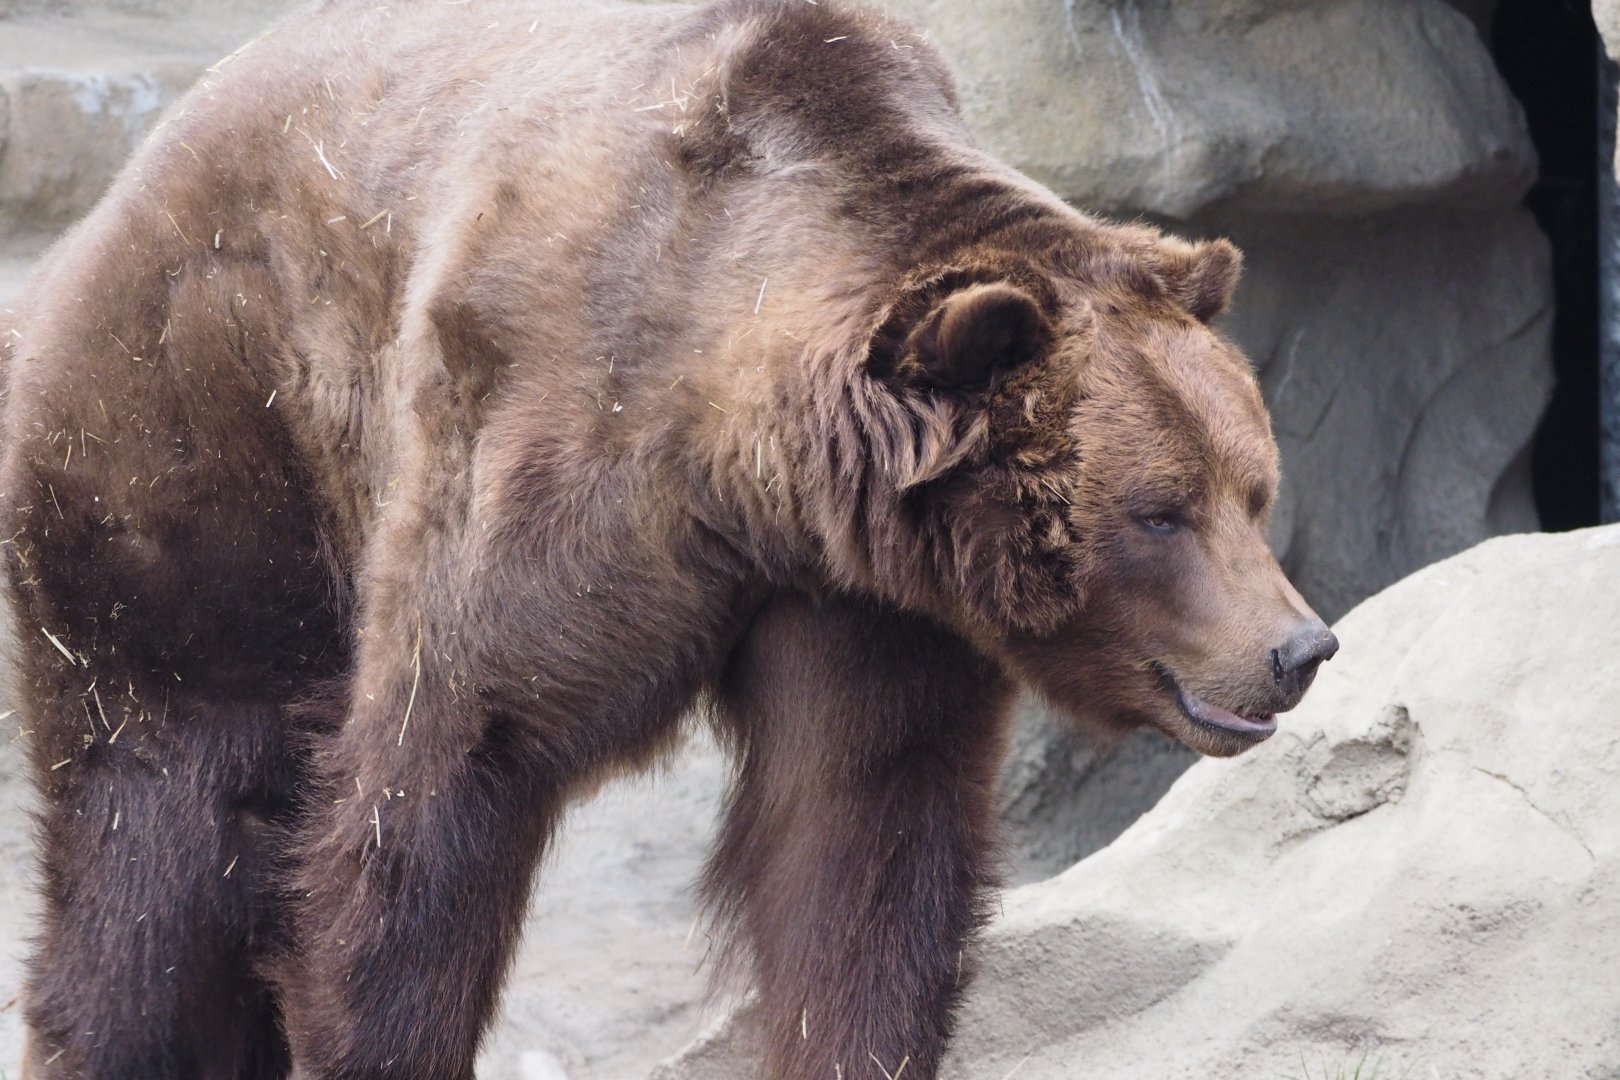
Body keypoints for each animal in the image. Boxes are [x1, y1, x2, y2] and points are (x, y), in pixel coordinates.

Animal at [0, 0, 1338, 1077]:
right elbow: (433, 795)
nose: (1300, 648)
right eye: (1158, 510)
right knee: (158, 836)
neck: (746, 468)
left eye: (1254, 489)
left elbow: (859, 838)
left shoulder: (865, 600)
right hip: (195, 448)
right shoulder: (550, 454)